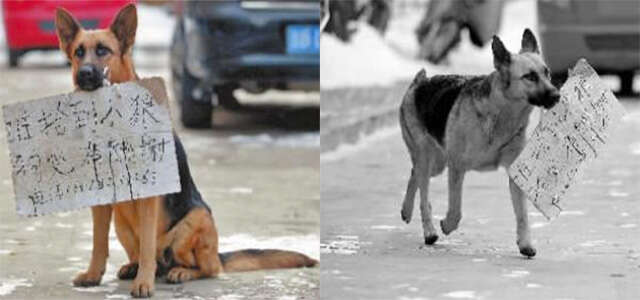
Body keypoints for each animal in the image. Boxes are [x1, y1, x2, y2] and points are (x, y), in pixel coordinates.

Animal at [56, 4, 316, 298]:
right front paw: (93, 275)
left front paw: (143, 283)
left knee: (206, 267)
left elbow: (147, 246)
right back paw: (134, 267)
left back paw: (179, 272)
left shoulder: (150, 198)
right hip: (122, 224)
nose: (84, 74)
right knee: (149, 256)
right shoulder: (101, 201)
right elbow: (98, 243)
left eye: (103, 50)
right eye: (78, 52)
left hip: (193, 222)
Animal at [400, 28, 560, 258]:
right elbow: (456, 211)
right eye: (530, 77)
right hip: (427, 158)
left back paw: (406, 210)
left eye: (547, 73)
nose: (557, 95)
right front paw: (446, 225)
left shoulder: (514, 173)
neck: (501, 113)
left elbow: (522, 214)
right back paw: (429, 232)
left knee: (414, 175)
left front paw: (525, 244)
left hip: (437, 164)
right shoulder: (457, 168)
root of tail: (420, 82)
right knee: (423, 194)